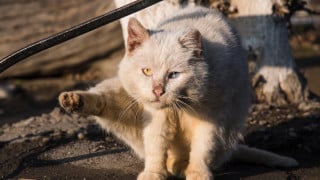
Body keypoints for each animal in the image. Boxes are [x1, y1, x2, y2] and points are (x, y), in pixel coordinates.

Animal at [59, 5, 298, 180]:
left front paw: (198, 173)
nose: (157, 91)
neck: (180, 107)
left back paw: (180, 166)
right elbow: (155, 147)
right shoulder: (155, 118)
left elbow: (203, 147)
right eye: (147, 71)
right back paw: (73, 100)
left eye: (173, 75)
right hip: (124, 98)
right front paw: (153, 174)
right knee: (103, 101)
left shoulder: (213, 116)